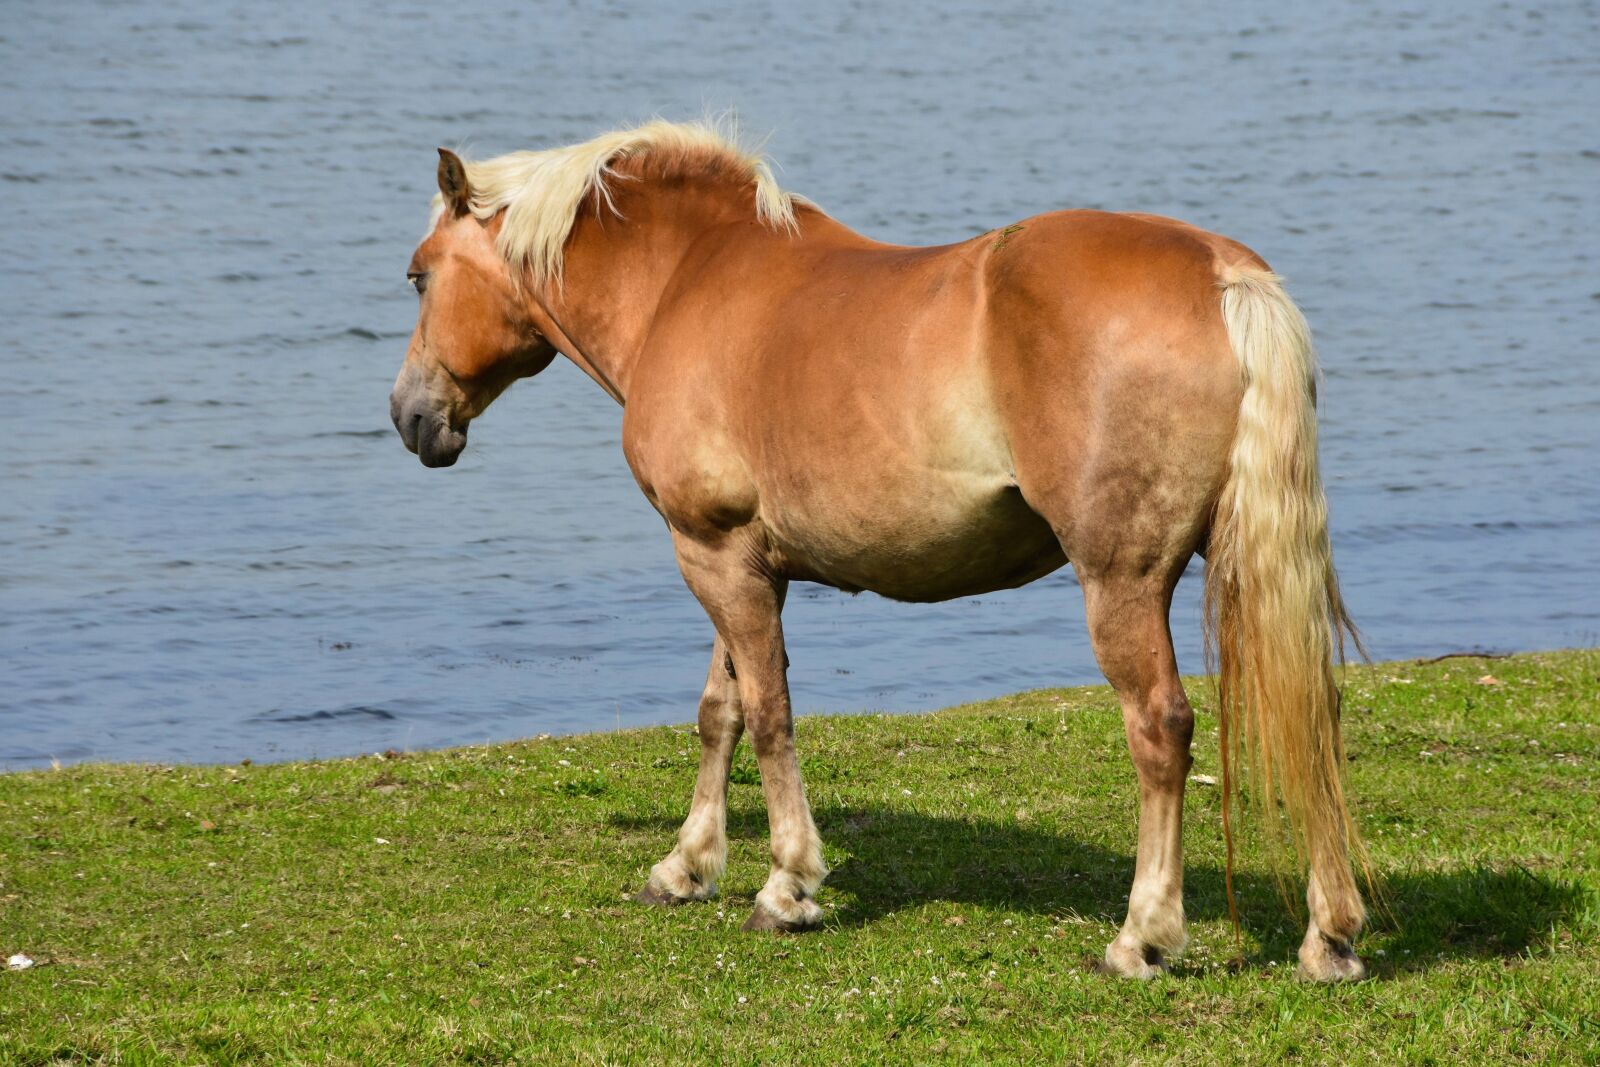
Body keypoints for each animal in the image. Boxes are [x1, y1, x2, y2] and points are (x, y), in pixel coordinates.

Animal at [388, 119, 1369, 981]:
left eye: (419, 277)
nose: (409, 416)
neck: (687, 282)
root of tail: (1222, 274)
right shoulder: (741, 559)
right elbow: (721, 710)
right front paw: (686, 865)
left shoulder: (713, 553)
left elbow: (770, 715)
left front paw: (787, 885)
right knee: (1314, 710)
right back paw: (1330, 936)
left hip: (1121, 581)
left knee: (1160, 729)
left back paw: (1144, 936)